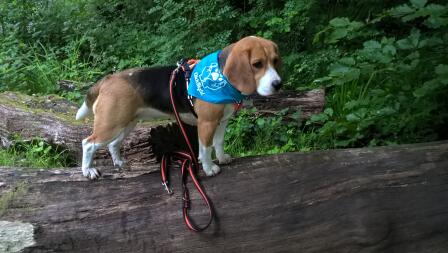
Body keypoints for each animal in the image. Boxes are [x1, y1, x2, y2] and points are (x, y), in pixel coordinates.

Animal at [75, 35, 282, 179]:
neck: (221, 77)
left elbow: (218, 142)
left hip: (126, 124)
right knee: (88, 143)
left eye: (275, 60)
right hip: (111, 125)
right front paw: (209, 169)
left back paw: (118, 162)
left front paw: (222, 159)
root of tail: (108, 79)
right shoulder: (206, 123)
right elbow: (206, 148)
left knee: (113, 144)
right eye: (257, 64)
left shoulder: (222, 122)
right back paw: (88, 170)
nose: (278, 84)